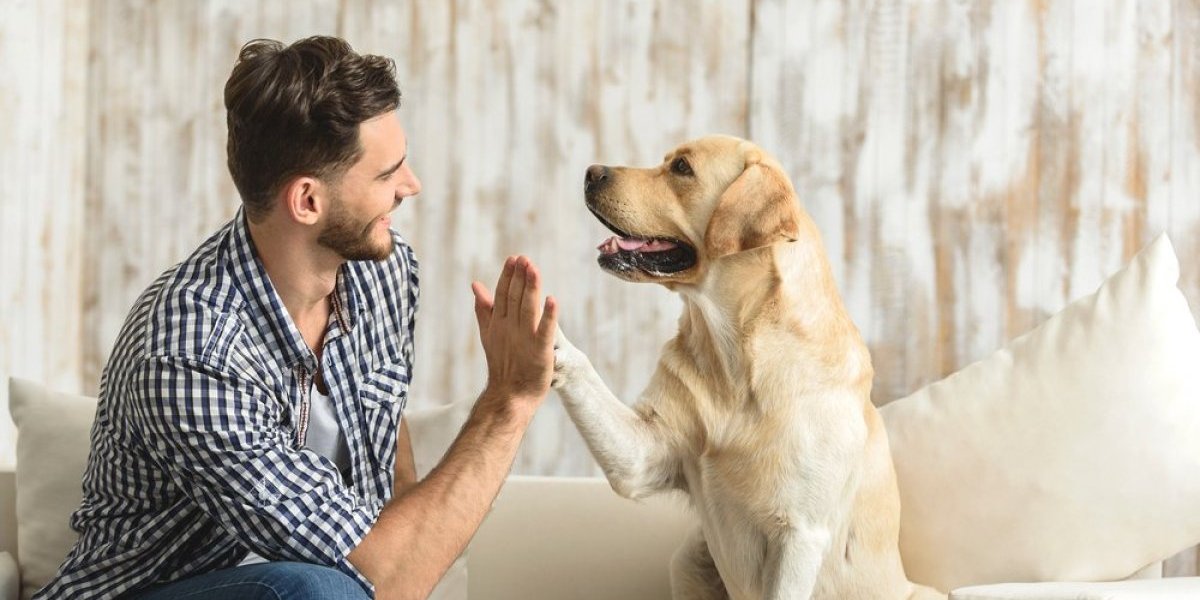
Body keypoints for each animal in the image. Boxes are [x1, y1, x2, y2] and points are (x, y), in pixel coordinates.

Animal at [552, 136, 945, 600]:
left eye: (681, 168)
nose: (591, 172)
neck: (735, 357)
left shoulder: (800, 534)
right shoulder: (643, 454)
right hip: (689, 559)